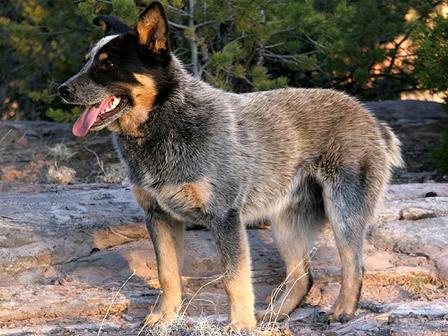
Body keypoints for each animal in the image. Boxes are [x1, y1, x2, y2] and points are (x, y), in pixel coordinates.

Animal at [57, 1, 404, 330]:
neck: (167, 122)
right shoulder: (159, 217)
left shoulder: (224, 216)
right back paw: (273, 315)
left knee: (353, 265)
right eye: (87, 60)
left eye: (109, 64)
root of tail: (369, 116)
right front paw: (165, 317)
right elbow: (167, 274)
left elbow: (233, 279)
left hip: (343, 210)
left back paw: (342, 311)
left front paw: (239, 324)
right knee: (302, 276)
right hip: (285, 222)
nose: (62, 89)